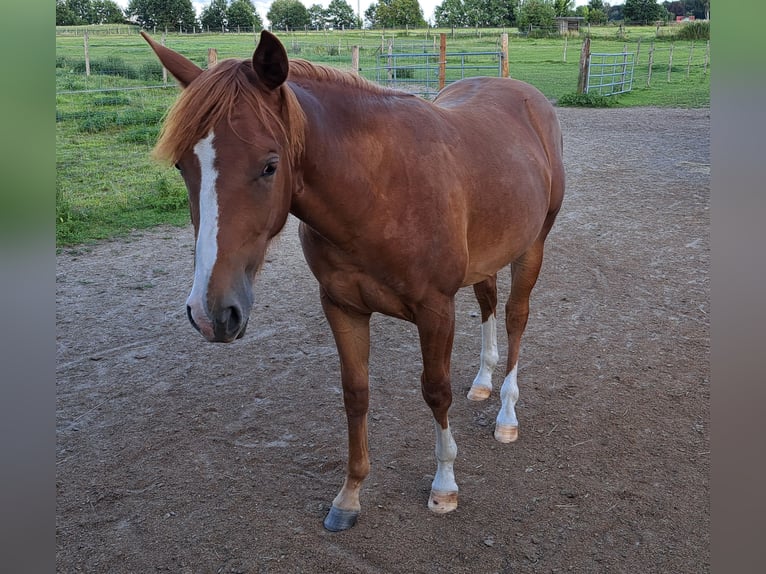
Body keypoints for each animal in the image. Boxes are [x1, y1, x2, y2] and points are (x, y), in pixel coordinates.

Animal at [142, 30, 565, 532]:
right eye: (182, 166)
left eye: (269, 166)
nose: (211, 313)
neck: (375, 191)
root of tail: (525, 95)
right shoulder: (342, 306)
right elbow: (355, 393)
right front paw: (350, 495)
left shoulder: (435, 310)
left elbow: (436, 392)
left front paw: (444, 486)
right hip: (489, 256)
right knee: (488, 305)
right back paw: (482, 381)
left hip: (531, 247)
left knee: (517, 318)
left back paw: (505, 414)